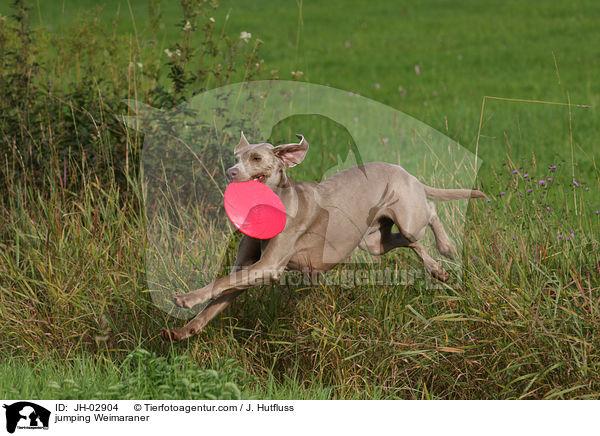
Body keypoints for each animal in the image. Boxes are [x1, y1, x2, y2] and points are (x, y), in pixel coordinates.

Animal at [162, 133, 486, 340]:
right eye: (236, 157)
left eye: (255, 158)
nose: (230, 172)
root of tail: (405, 171)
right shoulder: (249, 267)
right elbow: (221, 292)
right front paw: (185, 330)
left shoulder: (268, 266)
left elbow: (219, 283)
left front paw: (186, 298)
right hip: (373, 241)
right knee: (408, 242)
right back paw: (438, 270)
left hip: (408, 216)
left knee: (429, 212)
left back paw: (447, 247)